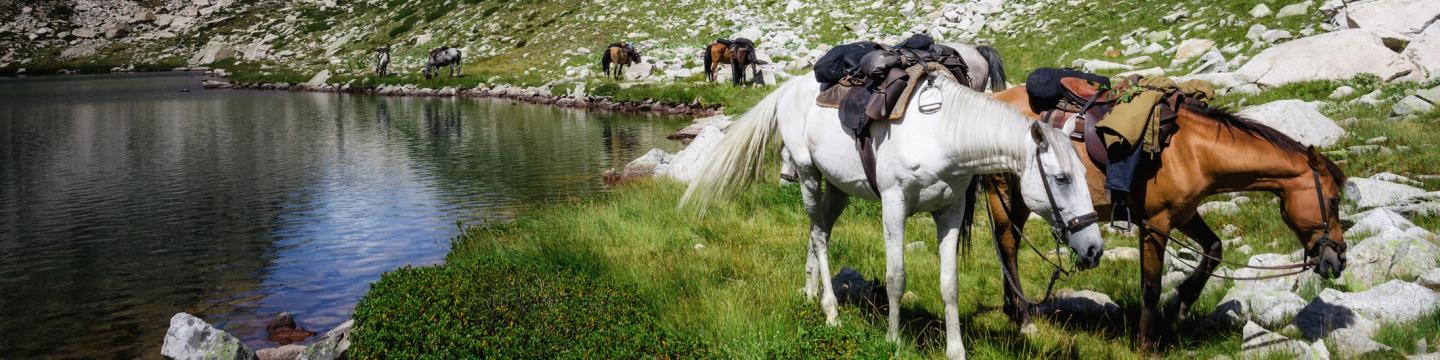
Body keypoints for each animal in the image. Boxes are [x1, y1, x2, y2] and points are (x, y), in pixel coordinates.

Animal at [682, 71, 1100, 358]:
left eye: (1084, 174)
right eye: (1061, 178)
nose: (1094, 248)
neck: (941, 133)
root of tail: (790, 88)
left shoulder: (950, 211)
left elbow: (950, 284)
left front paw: (956, 349)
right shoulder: (894, 204)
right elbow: (896, 277)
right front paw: (894, 340)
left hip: (838, 188)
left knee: (818, 233)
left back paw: (810, 293)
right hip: (808, 177)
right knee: (819, 236)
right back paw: (830, 310)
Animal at [984, 84, 1342, 351]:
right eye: (1335, 200)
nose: (1337, 260)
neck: (1194, 152)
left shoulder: (1185, 215)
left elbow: (1214, 250)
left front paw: (1178, 307)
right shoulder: (1156, 223)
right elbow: (1150, 285)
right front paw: (1146, 342)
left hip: (1021, 199)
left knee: (1007, 244)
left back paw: (1014, 309)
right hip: (1003, 192)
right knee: (1008, 245)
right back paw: (1023, 318)